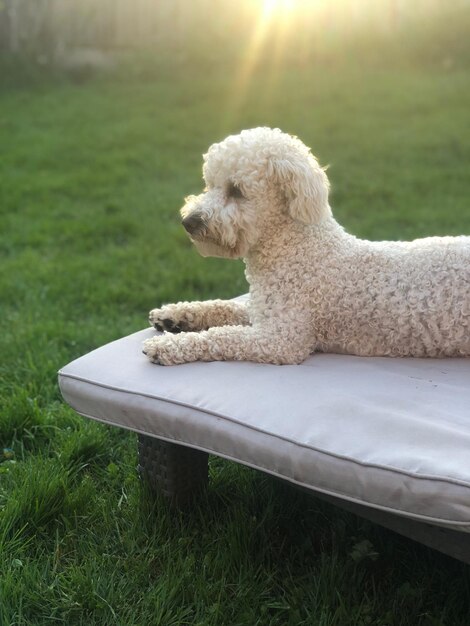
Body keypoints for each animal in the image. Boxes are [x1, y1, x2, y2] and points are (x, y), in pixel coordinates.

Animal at [143, 125, 470, 366]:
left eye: (235, 190)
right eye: (208, 184)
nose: (188, 221)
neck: (297, 251)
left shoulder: (281, 339)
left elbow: (221, 336)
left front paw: (168, 345)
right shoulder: (262, 310)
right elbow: (223, 307)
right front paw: (173, 315)